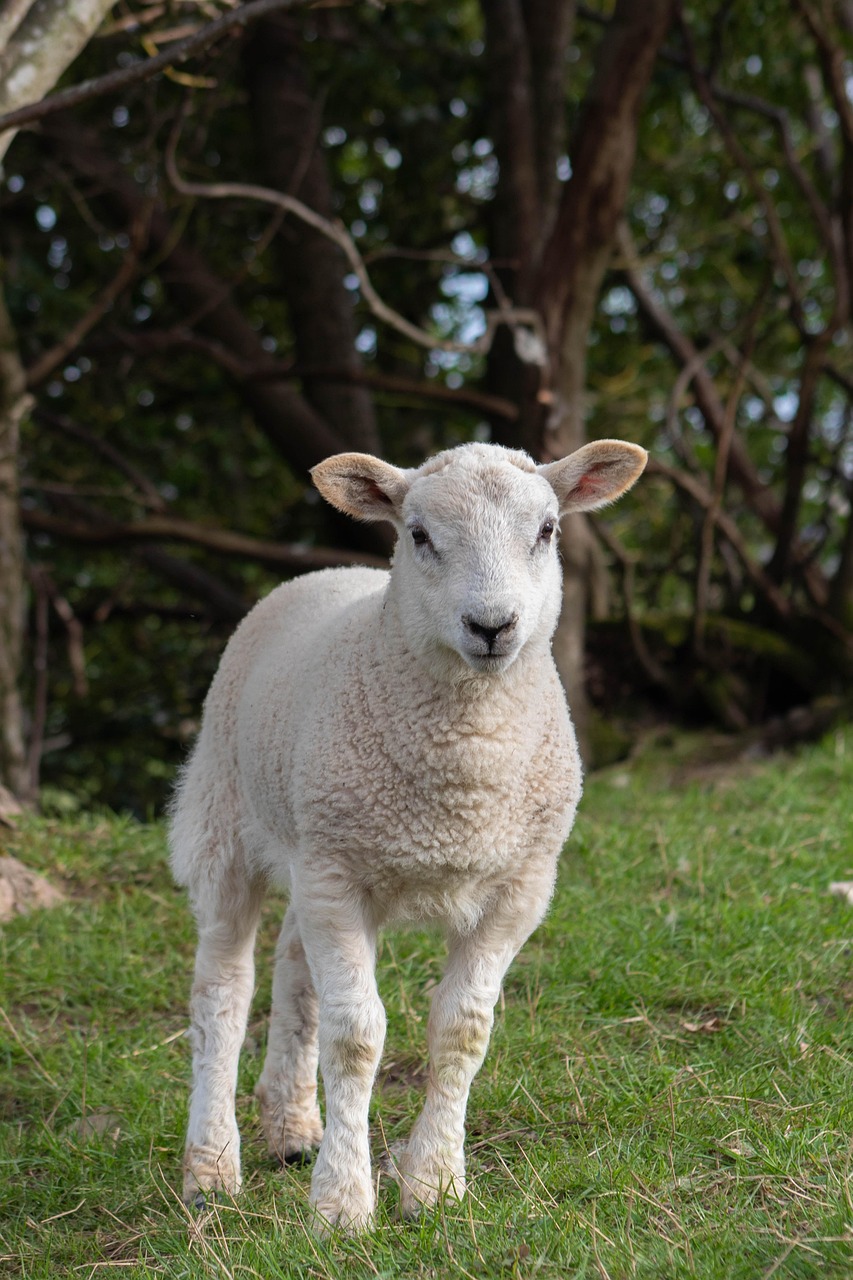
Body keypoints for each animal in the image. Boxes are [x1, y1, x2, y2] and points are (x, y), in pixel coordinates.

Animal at [169, 437, 647, 1233]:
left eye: (547, 530)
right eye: (419, 534)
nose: (492, 626)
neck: (464, 778)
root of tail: (324, 571)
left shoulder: (519, 885)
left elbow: (463, 1029)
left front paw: (435, 1185)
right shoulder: (336, 877)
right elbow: (356, 1037)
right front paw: (341, 1205)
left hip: (311, 840)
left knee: (293, 966)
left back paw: (291, 1126)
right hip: (227, 821)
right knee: (222, 990)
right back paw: (211, 1169)